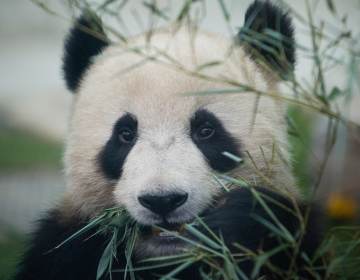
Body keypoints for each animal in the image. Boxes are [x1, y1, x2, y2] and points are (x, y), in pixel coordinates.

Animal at [14, 1, 324, 278]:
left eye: (206, 130)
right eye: (125, 134)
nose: (162, 201)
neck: (170, 257)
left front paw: (239, 222)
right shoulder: (68, 245)